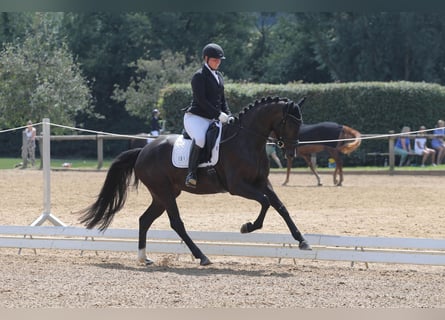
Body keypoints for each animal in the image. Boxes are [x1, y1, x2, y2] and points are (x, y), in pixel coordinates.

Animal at [79, 96, 308, 266]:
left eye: (301, 123)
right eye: (289, 122)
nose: (291, 153)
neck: (247, 141)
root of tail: (143, 151)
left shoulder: (261, 183)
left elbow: (280, 206)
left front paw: (302, 241)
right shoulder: (237, 186)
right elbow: (266, 202)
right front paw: (247, 226)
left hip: (162, 195)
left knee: (144, 220)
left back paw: (144, 258)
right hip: (164, 192)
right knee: (176, 223)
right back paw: (202, 257)